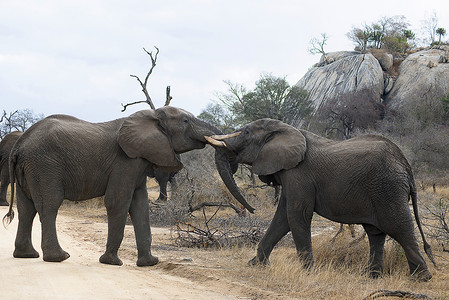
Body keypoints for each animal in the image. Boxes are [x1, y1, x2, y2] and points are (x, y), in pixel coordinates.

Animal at [3, 106, 254, 266]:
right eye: (185, 121)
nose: (251, 210)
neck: (151, 117)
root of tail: (19, 145)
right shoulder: (125, 160)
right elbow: (118, 201)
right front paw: (112, 262)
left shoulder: (140, 161)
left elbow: (140, 205)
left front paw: (150, 263)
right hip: (44, 166)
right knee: (49, 206)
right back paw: (59, 257)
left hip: (30, 168)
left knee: (27, 209)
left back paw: (27, 255)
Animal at [206, 118, 434, 282]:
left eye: (245, 132)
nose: (251, 210)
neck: (285, 128)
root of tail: (406, 166)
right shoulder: (290, 174)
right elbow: (282, 218)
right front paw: (255, 265)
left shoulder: (299, 174)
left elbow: (296, 215)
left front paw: (307, 273)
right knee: (376, 233)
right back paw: (372, 277)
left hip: (388, 189)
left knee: (400, 228)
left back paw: (421, 279)